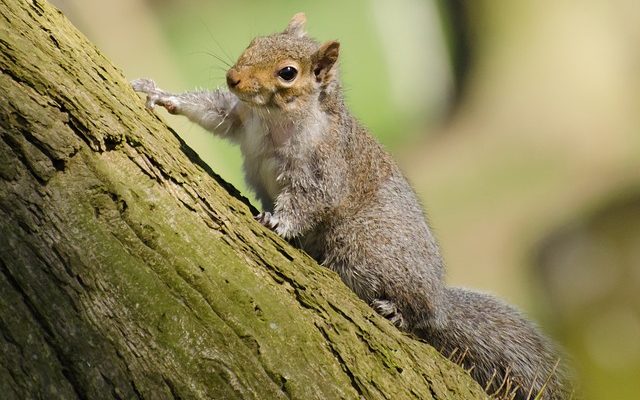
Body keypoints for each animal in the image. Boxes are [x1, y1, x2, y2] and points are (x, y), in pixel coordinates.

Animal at [130, 12, 568, 400]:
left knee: (418, 311)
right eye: (255, 42)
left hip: (364, 246)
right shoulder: (240, 118)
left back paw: (398, 311)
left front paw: (278, 222)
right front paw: (160, 94)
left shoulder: (324, 168)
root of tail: (440, 298)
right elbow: (213, 111)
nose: (233, 78)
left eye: (288, 73)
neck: (275, 118)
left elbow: (308, 201)